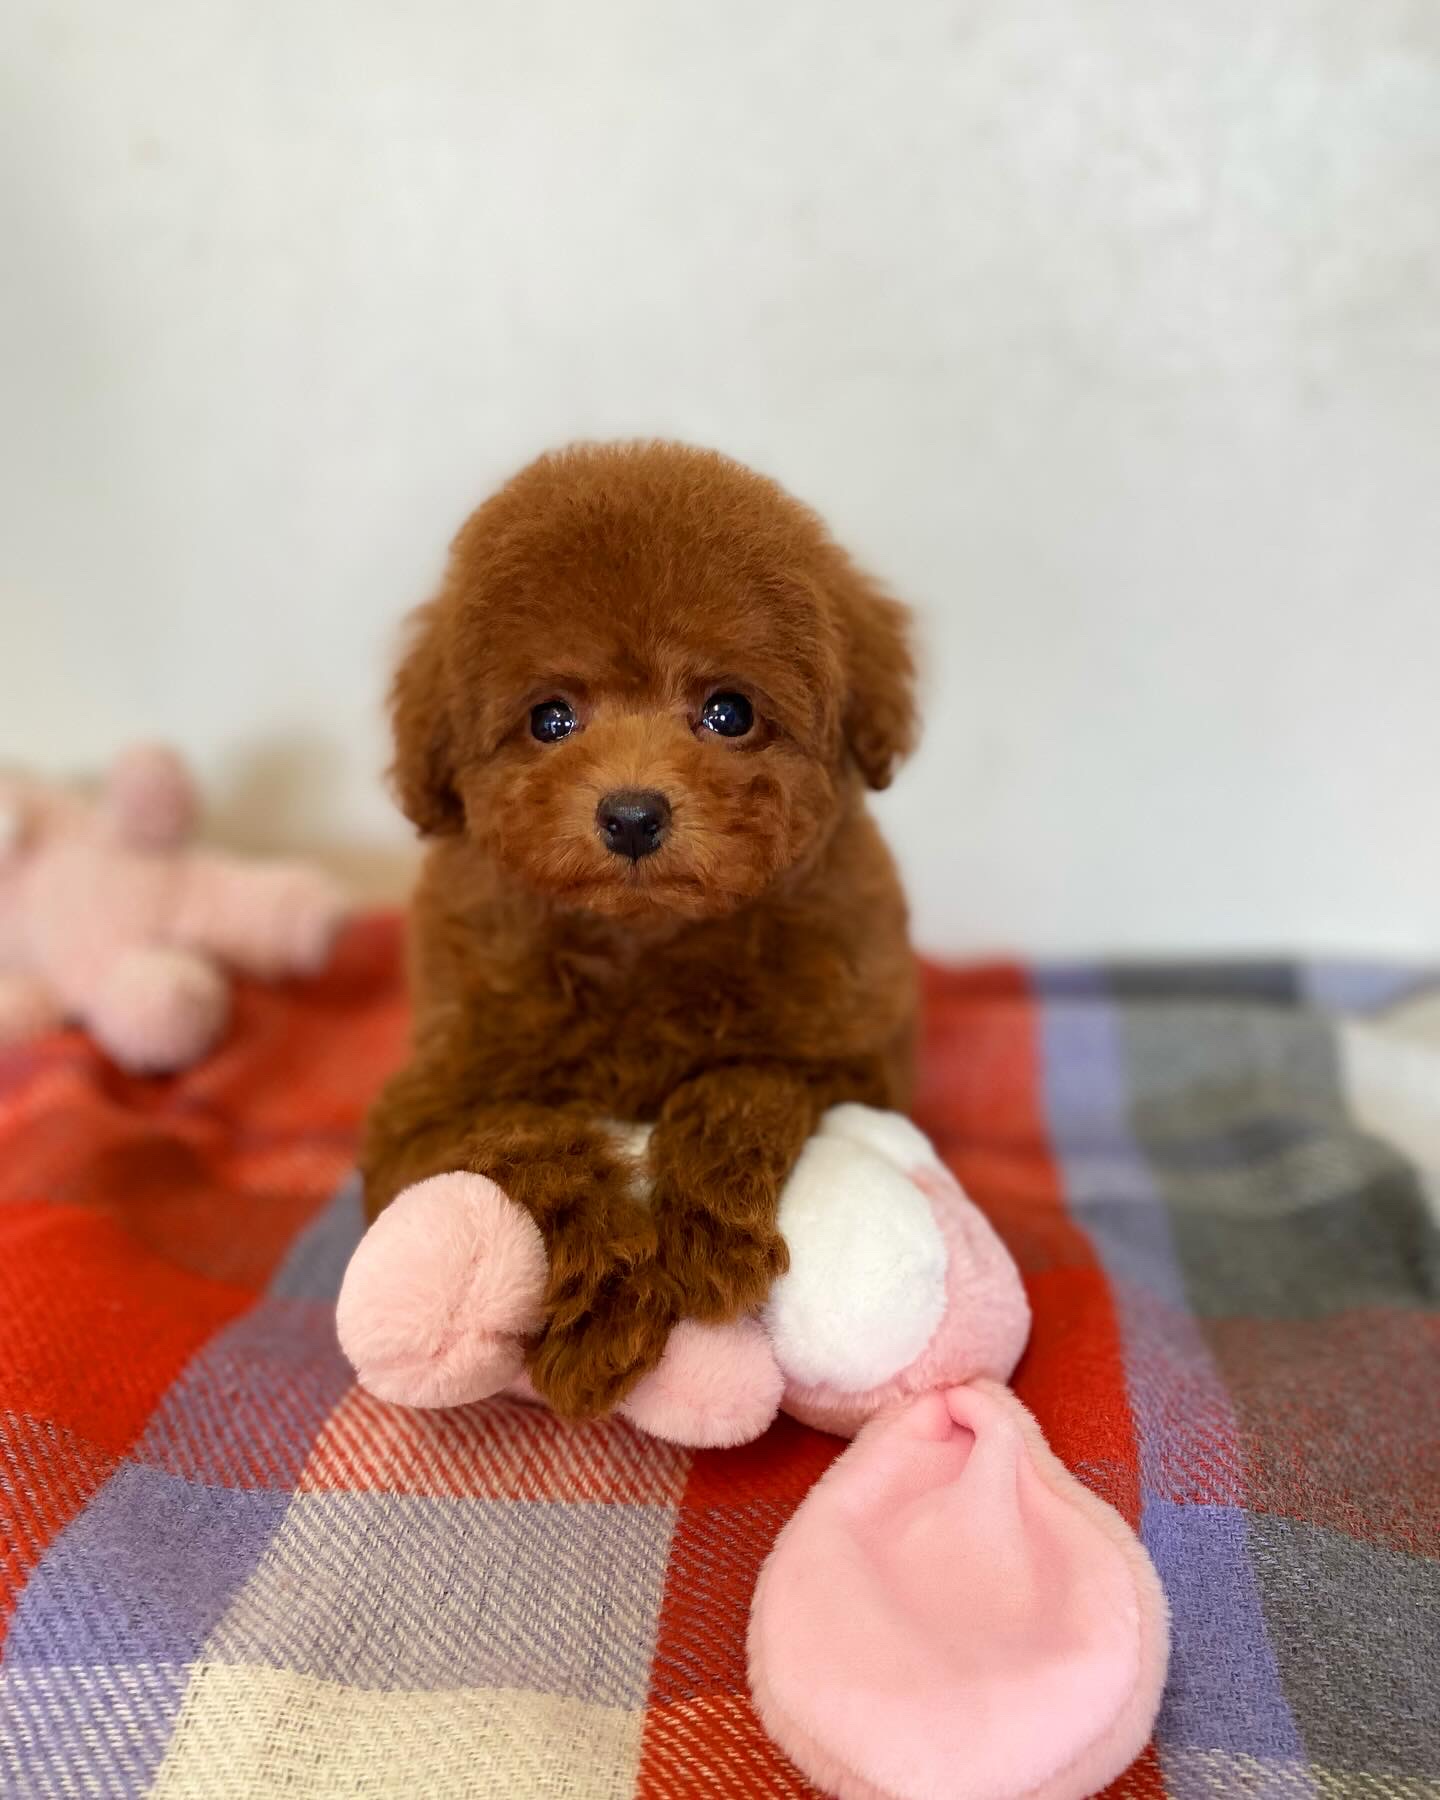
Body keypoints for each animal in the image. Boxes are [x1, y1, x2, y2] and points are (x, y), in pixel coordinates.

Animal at [360, 441, 919, 1418]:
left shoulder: (855, 1059)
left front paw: (706, 1240)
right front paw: (608, 1305)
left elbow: (743, 1082)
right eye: (550, 718)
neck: (644, 940)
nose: (630, 815)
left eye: (729, 712)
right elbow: (525, 1137)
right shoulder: (423, 1116)